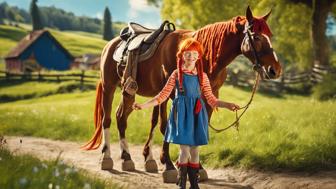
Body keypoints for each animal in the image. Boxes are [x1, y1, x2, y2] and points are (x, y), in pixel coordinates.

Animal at [81, 6, 280, 183]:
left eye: (270, 37)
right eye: (256, 37)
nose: (275, 70)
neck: (203, 57)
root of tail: (111, 43)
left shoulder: (208, 95)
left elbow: (198, 129)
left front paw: (196, 168)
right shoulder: (169, 93)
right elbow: (165, 127)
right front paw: (169, 166)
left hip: (129, 93)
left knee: (121, 117)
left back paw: (128, 158)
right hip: (109, 87)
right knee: (107, 119)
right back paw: (108, 158)